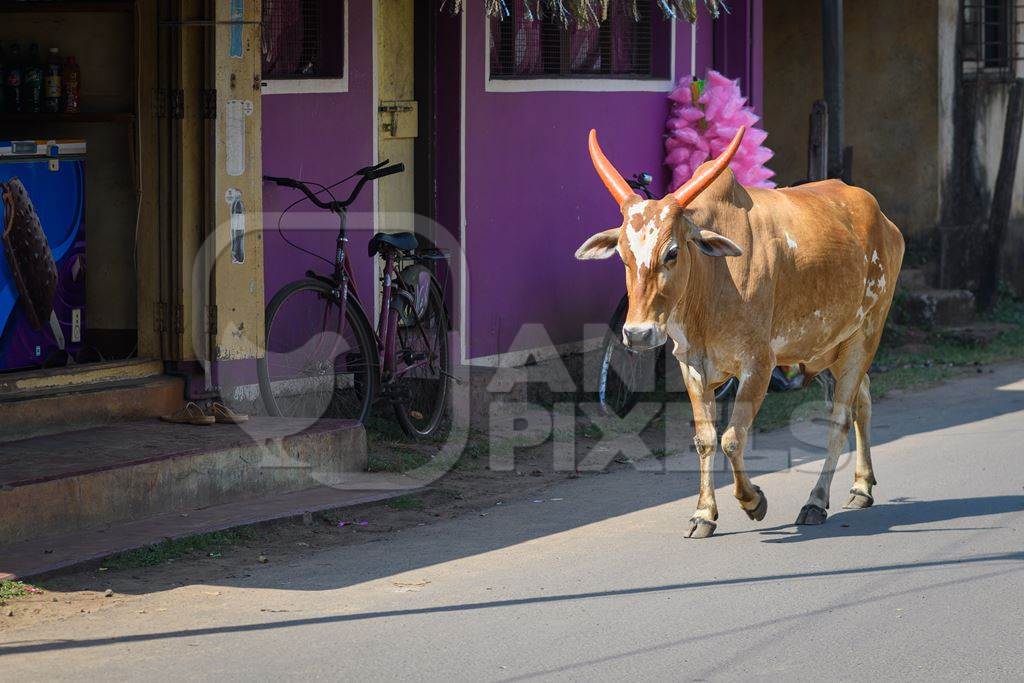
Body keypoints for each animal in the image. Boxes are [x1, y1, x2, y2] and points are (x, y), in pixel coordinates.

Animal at [577, 126, 905, 540]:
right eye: (622, 255)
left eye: (672, 252)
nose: (638, 334)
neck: (711, 284)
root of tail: (883, 220)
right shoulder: (692, 366)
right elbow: (705, 439)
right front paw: (703, 514)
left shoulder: (759, 364)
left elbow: (733, 439)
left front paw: (753, 501)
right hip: (830, 346)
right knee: (863, 401)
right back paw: (861, 487)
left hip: (866, 335)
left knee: (840, 418)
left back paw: (816, 501)